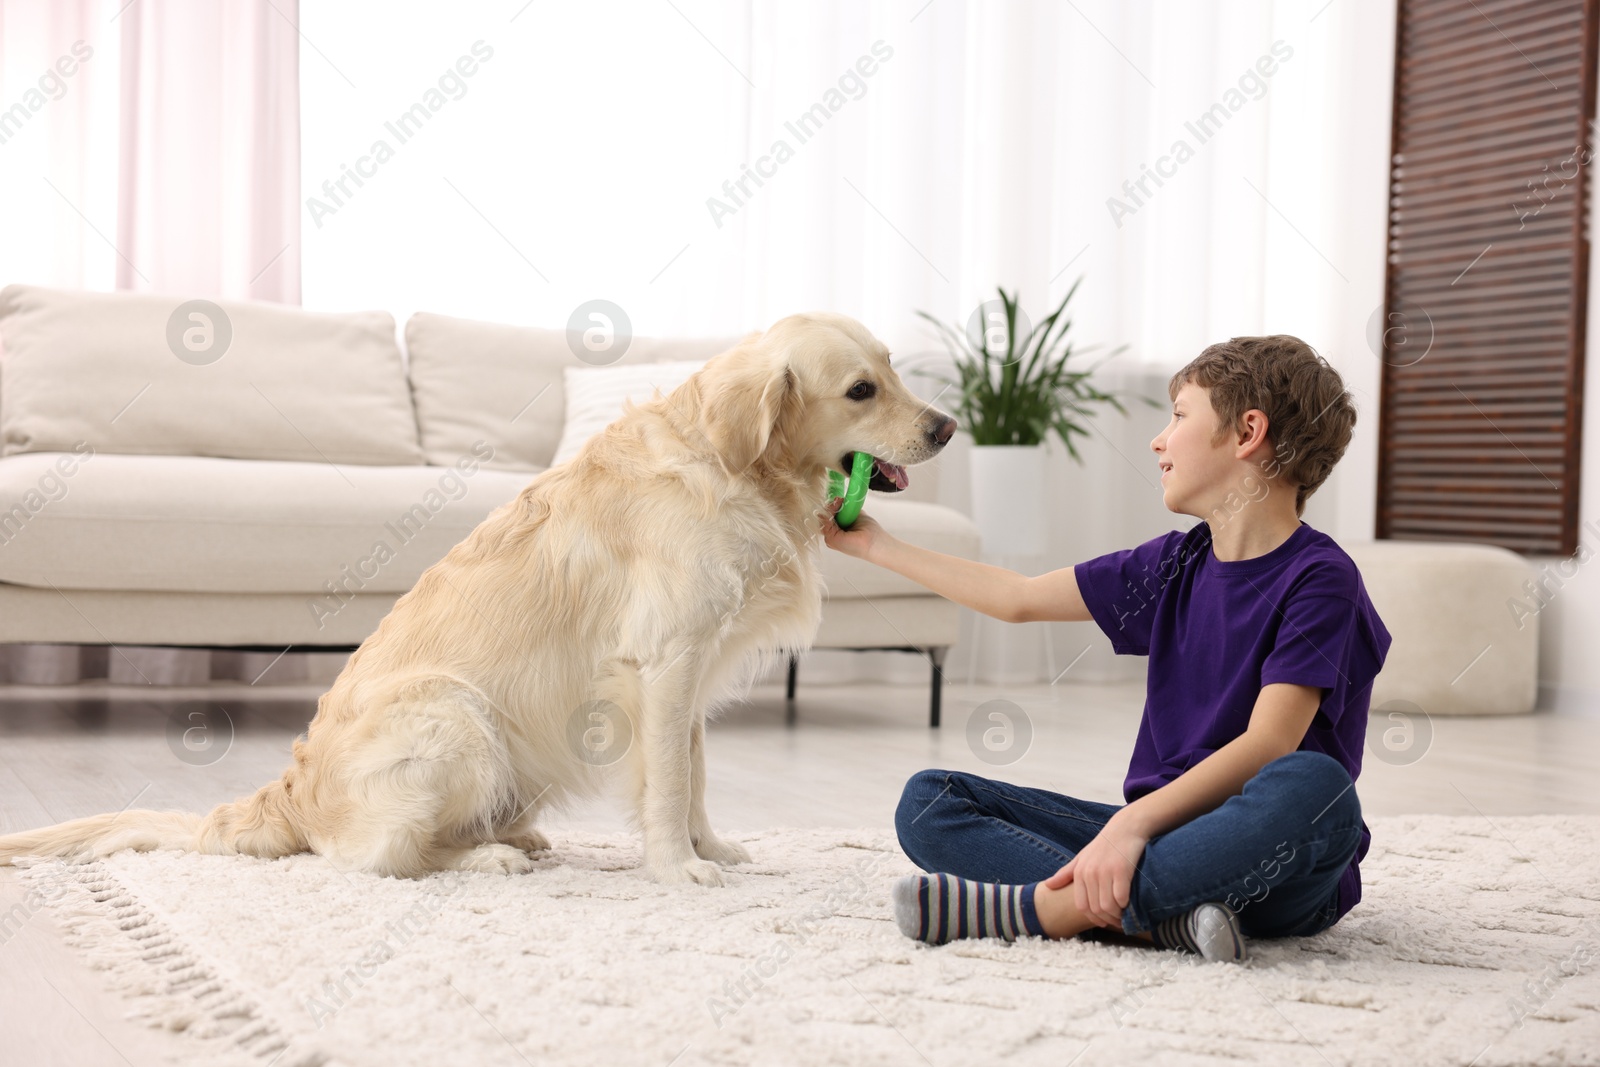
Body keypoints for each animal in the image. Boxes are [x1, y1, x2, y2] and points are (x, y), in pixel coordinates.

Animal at [0, 313, 947, 889]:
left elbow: (696, 774)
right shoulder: (667, 659)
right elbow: (672, 783)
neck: (731, 463)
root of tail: (290, 794)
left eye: (894, 369)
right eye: (861, 389)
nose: (945, 427)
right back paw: (489, 857)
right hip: (457, 712)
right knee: (380, 858)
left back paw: (514, 836)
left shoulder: (689, 673)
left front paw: (711, 847)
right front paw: (679, 867)